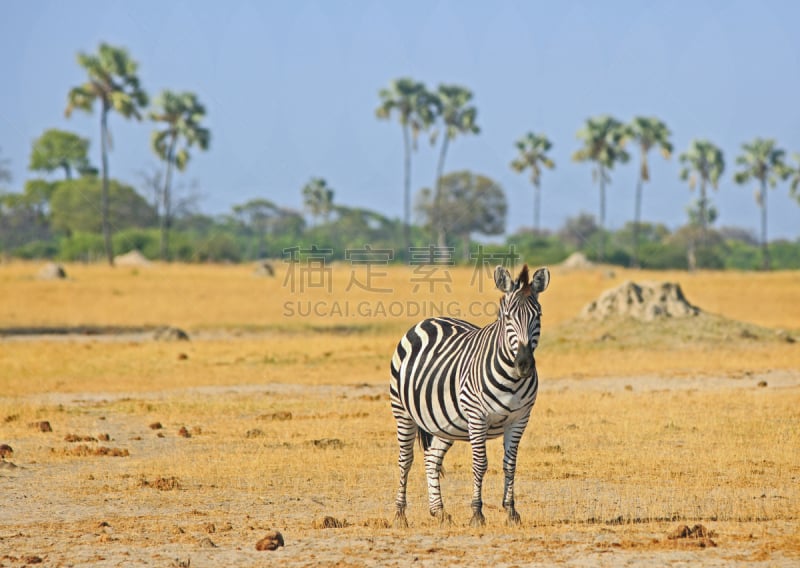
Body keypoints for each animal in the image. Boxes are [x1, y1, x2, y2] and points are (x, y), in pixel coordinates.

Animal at [388, 262, 552, 528]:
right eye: (507, 317)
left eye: (538, 316)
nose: (524, 364)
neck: (512, 379)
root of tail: (429, 319)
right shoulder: (477, 417)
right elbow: (480, 464)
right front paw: (477, 513)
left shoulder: (520, 419)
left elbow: (510, 465)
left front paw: (511, 512)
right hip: (402, 412)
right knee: (406, 460)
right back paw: (400, 514)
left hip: (444, 422)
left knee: (432, 458)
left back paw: (439, 511)